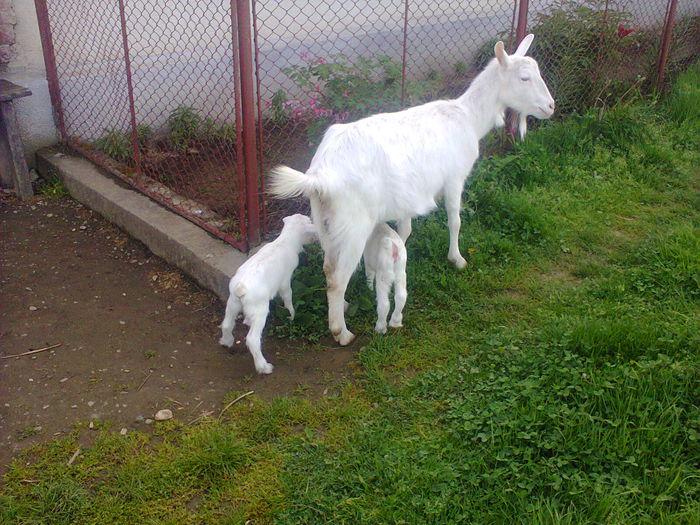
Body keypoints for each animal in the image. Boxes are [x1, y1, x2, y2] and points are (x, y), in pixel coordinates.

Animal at [270, 35, 556, 344]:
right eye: (525, 78)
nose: (551, 106)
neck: (467, 117)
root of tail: (320, 175)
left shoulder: (406, 196)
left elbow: (405, 230)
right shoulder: (455, 178)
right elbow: (455, 220)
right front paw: (457, 259)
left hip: (326, 221)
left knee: (328, 266)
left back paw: (343, 305)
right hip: (353, 223)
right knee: (337, 277)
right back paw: (342, 332)